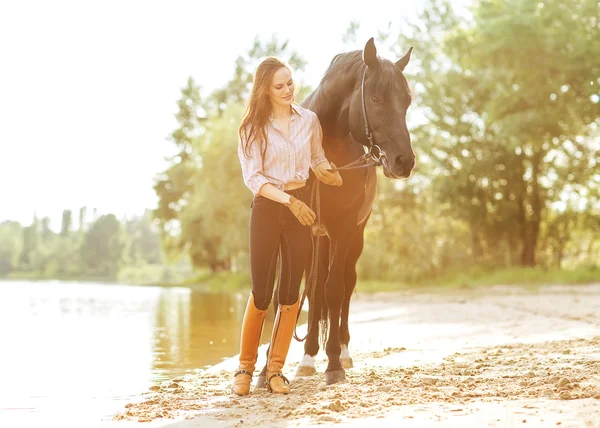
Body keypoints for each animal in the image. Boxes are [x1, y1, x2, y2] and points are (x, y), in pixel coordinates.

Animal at [256, 36, 412, 384]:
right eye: (376, 98)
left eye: (407, 101)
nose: (404, 162)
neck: (326, 147)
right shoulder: (298, 229)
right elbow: (290, 293)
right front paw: (270, 366)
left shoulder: (343, 228)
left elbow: (335, 290)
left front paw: (334, 363)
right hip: (319, 239)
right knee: (314, 291)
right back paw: (308, 355)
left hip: (354, 237)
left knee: (345, 286)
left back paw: (341, 350)